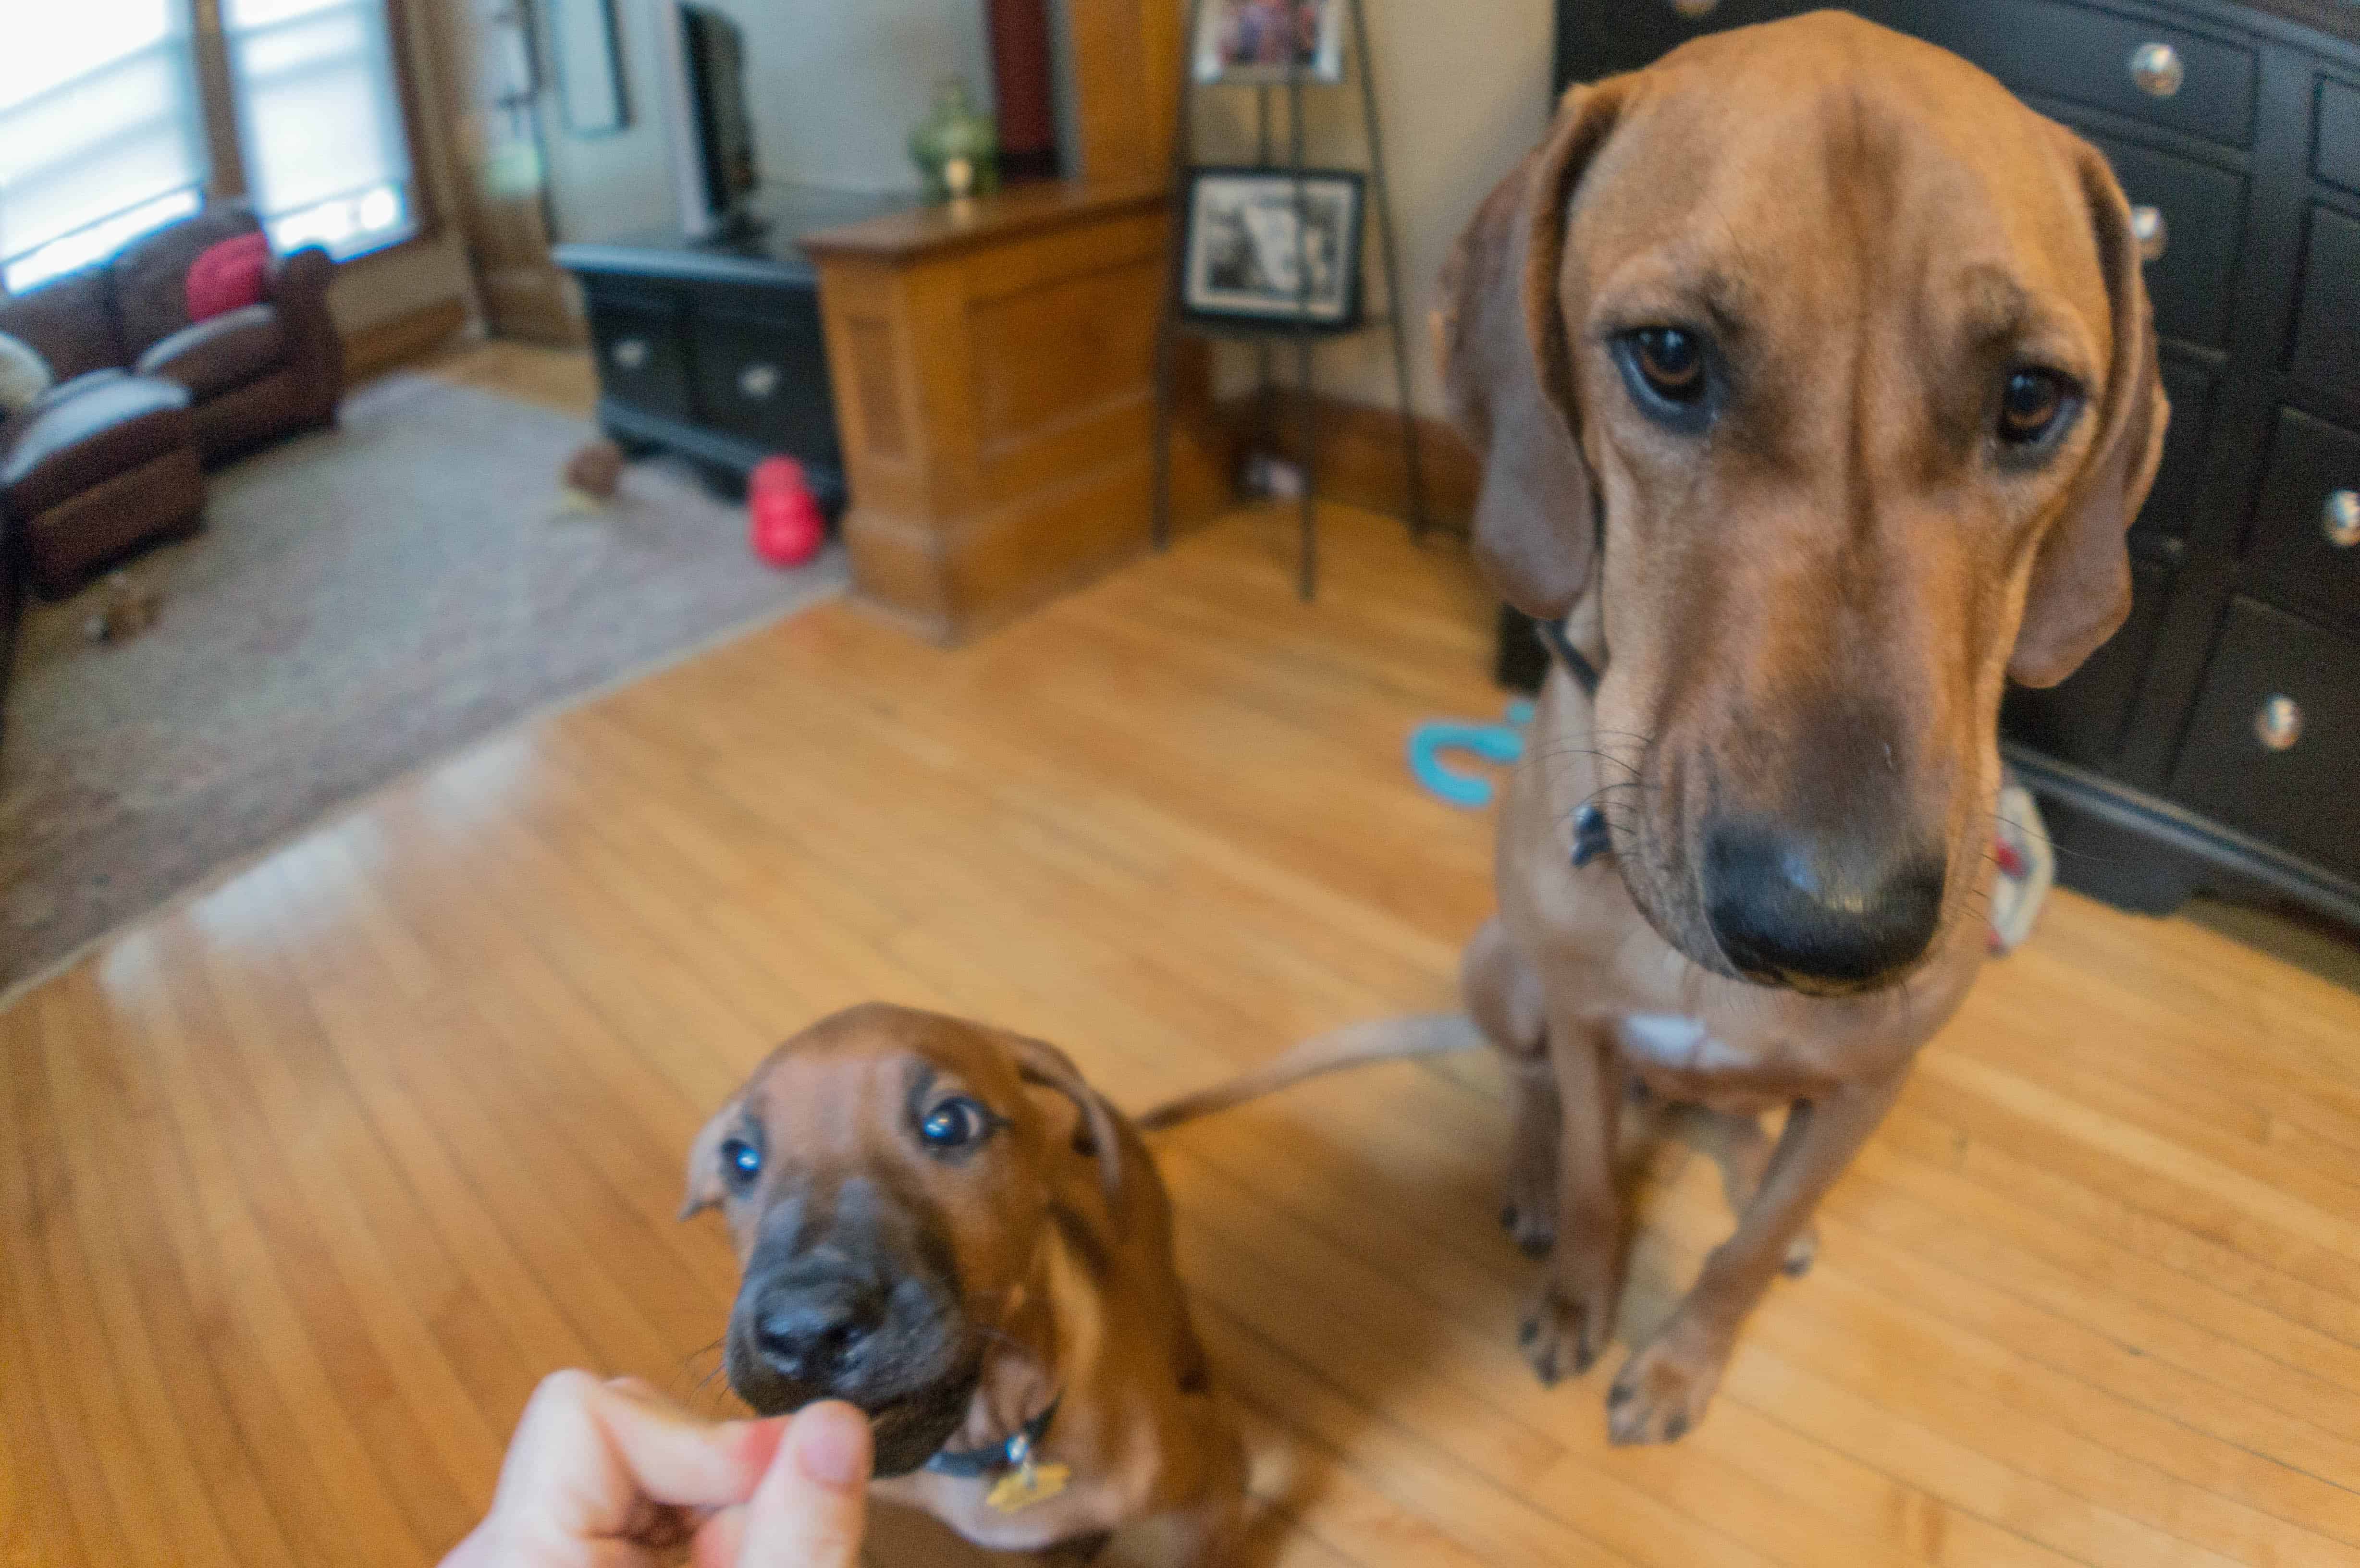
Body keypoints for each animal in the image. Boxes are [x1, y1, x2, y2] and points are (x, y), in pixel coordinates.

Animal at [1152, 12, 2162, 1455]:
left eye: (2029, 397)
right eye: (1669, 356)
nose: (1834, 931)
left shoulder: (1871, 1088)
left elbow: (1745, 1247)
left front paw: (1685, 1356)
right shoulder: (1579, 1022)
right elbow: (1585, 1162)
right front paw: (1580, 1288)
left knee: (1743, 1138)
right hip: (1494, 963)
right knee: (1528, 1085)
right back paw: (1527, 1178)